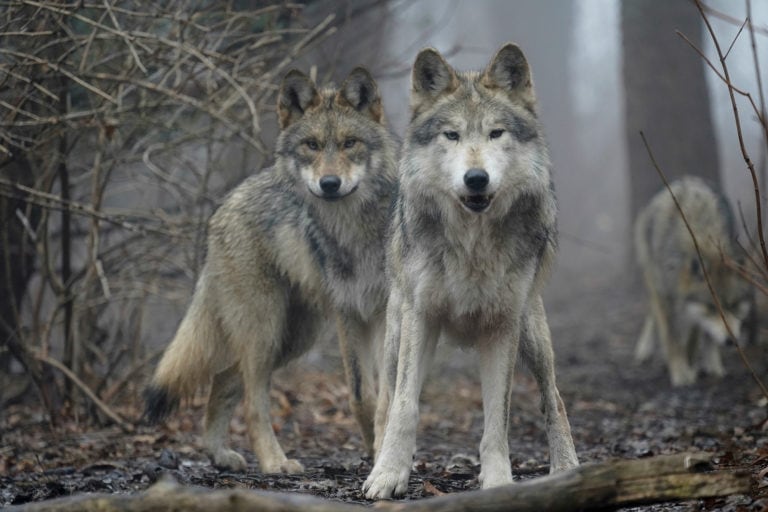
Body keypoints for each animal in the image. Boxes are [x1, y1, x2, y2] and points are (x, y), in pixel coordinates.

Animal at [143, 67, 397, 474]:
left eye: (350, 143)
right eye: (311, 145)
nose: (329, 184)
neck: (355, 231)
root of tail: (226, 202)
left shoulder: (389, 315)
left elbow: (388, 397)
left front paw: (382, 459)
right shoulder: (349, 315)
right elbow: (362, 396)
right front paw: (377, 458)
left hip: (292, 338)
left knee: (223, 380)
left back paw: (219, 454)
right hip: (266, 331)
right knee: (251, 401)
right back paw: (274, 461)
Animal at [363, 43, 579, 500]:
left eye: (496, 133)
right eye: (452, 135)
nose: (476, 178)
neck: (472, 243)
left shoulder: (501, 326)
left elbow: (498, 418)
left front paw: (498, 482)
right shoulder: (420, 318)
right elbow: (405, 407)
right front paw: (388, 475)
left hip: (531, 333)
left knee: (554, 398)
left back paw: (567, 468)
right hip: (396, 335)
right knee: (387, 400)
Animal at [634, 176, 752, 386]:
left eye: (733, 305)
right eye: (712, 307)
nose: (731, 341)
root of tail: (686, 179)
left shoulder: (694, 309)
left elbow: (696, 336)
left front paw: (695, 364)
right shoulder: (666, 296)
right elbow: (672, 338)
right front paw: (680, 373)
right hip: (652, 279)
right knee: (652, 312)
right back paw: (644, 349)